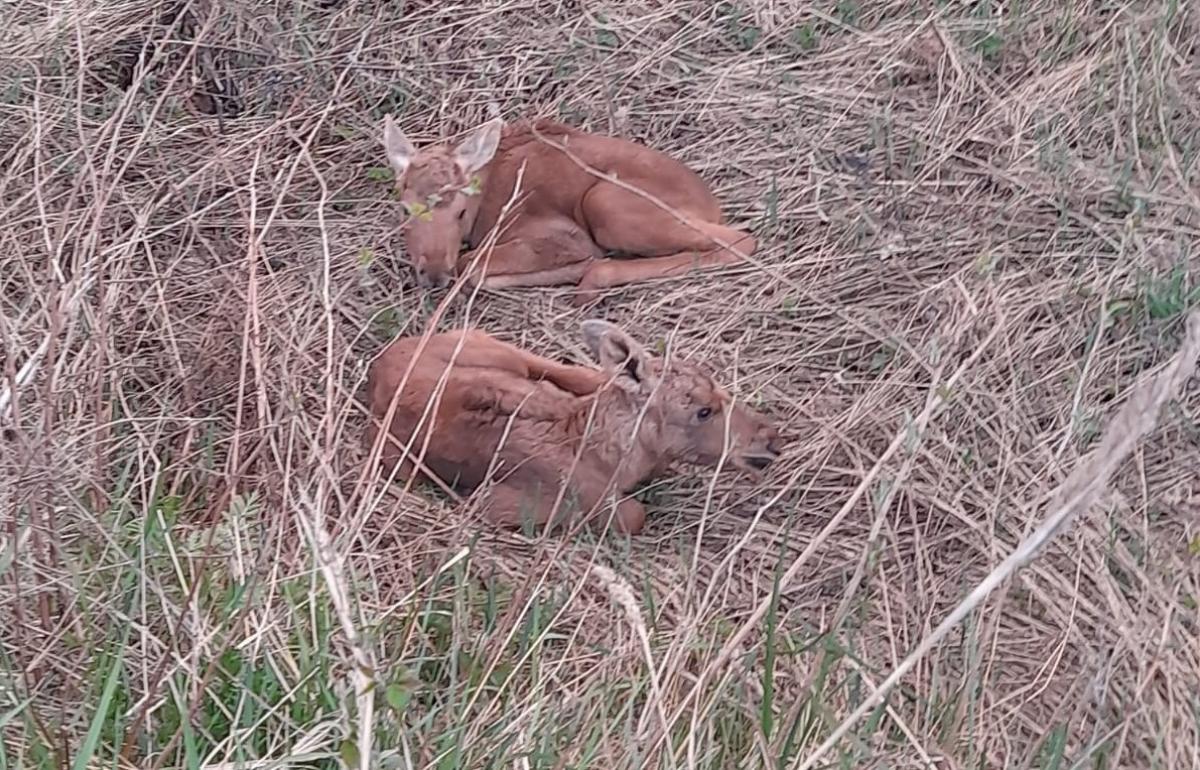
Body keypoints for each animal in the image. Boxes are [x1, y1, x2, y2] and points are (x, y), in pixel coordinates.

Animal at [360, 319, 782, 532]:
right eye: (703, 411)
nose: (771, 439)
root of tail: (379, 363)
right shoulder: (506, 503)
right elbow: (633, 515)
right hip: (396, 459)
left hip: (499, 350)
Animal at [384, 115, 753, 301]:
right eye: (404, 211)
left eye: (460, 212)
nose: (433, 274)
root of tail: (712, 205)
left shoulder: (564, 236)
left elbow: (468, 263)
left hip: (606, 203)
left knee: (743, 241)